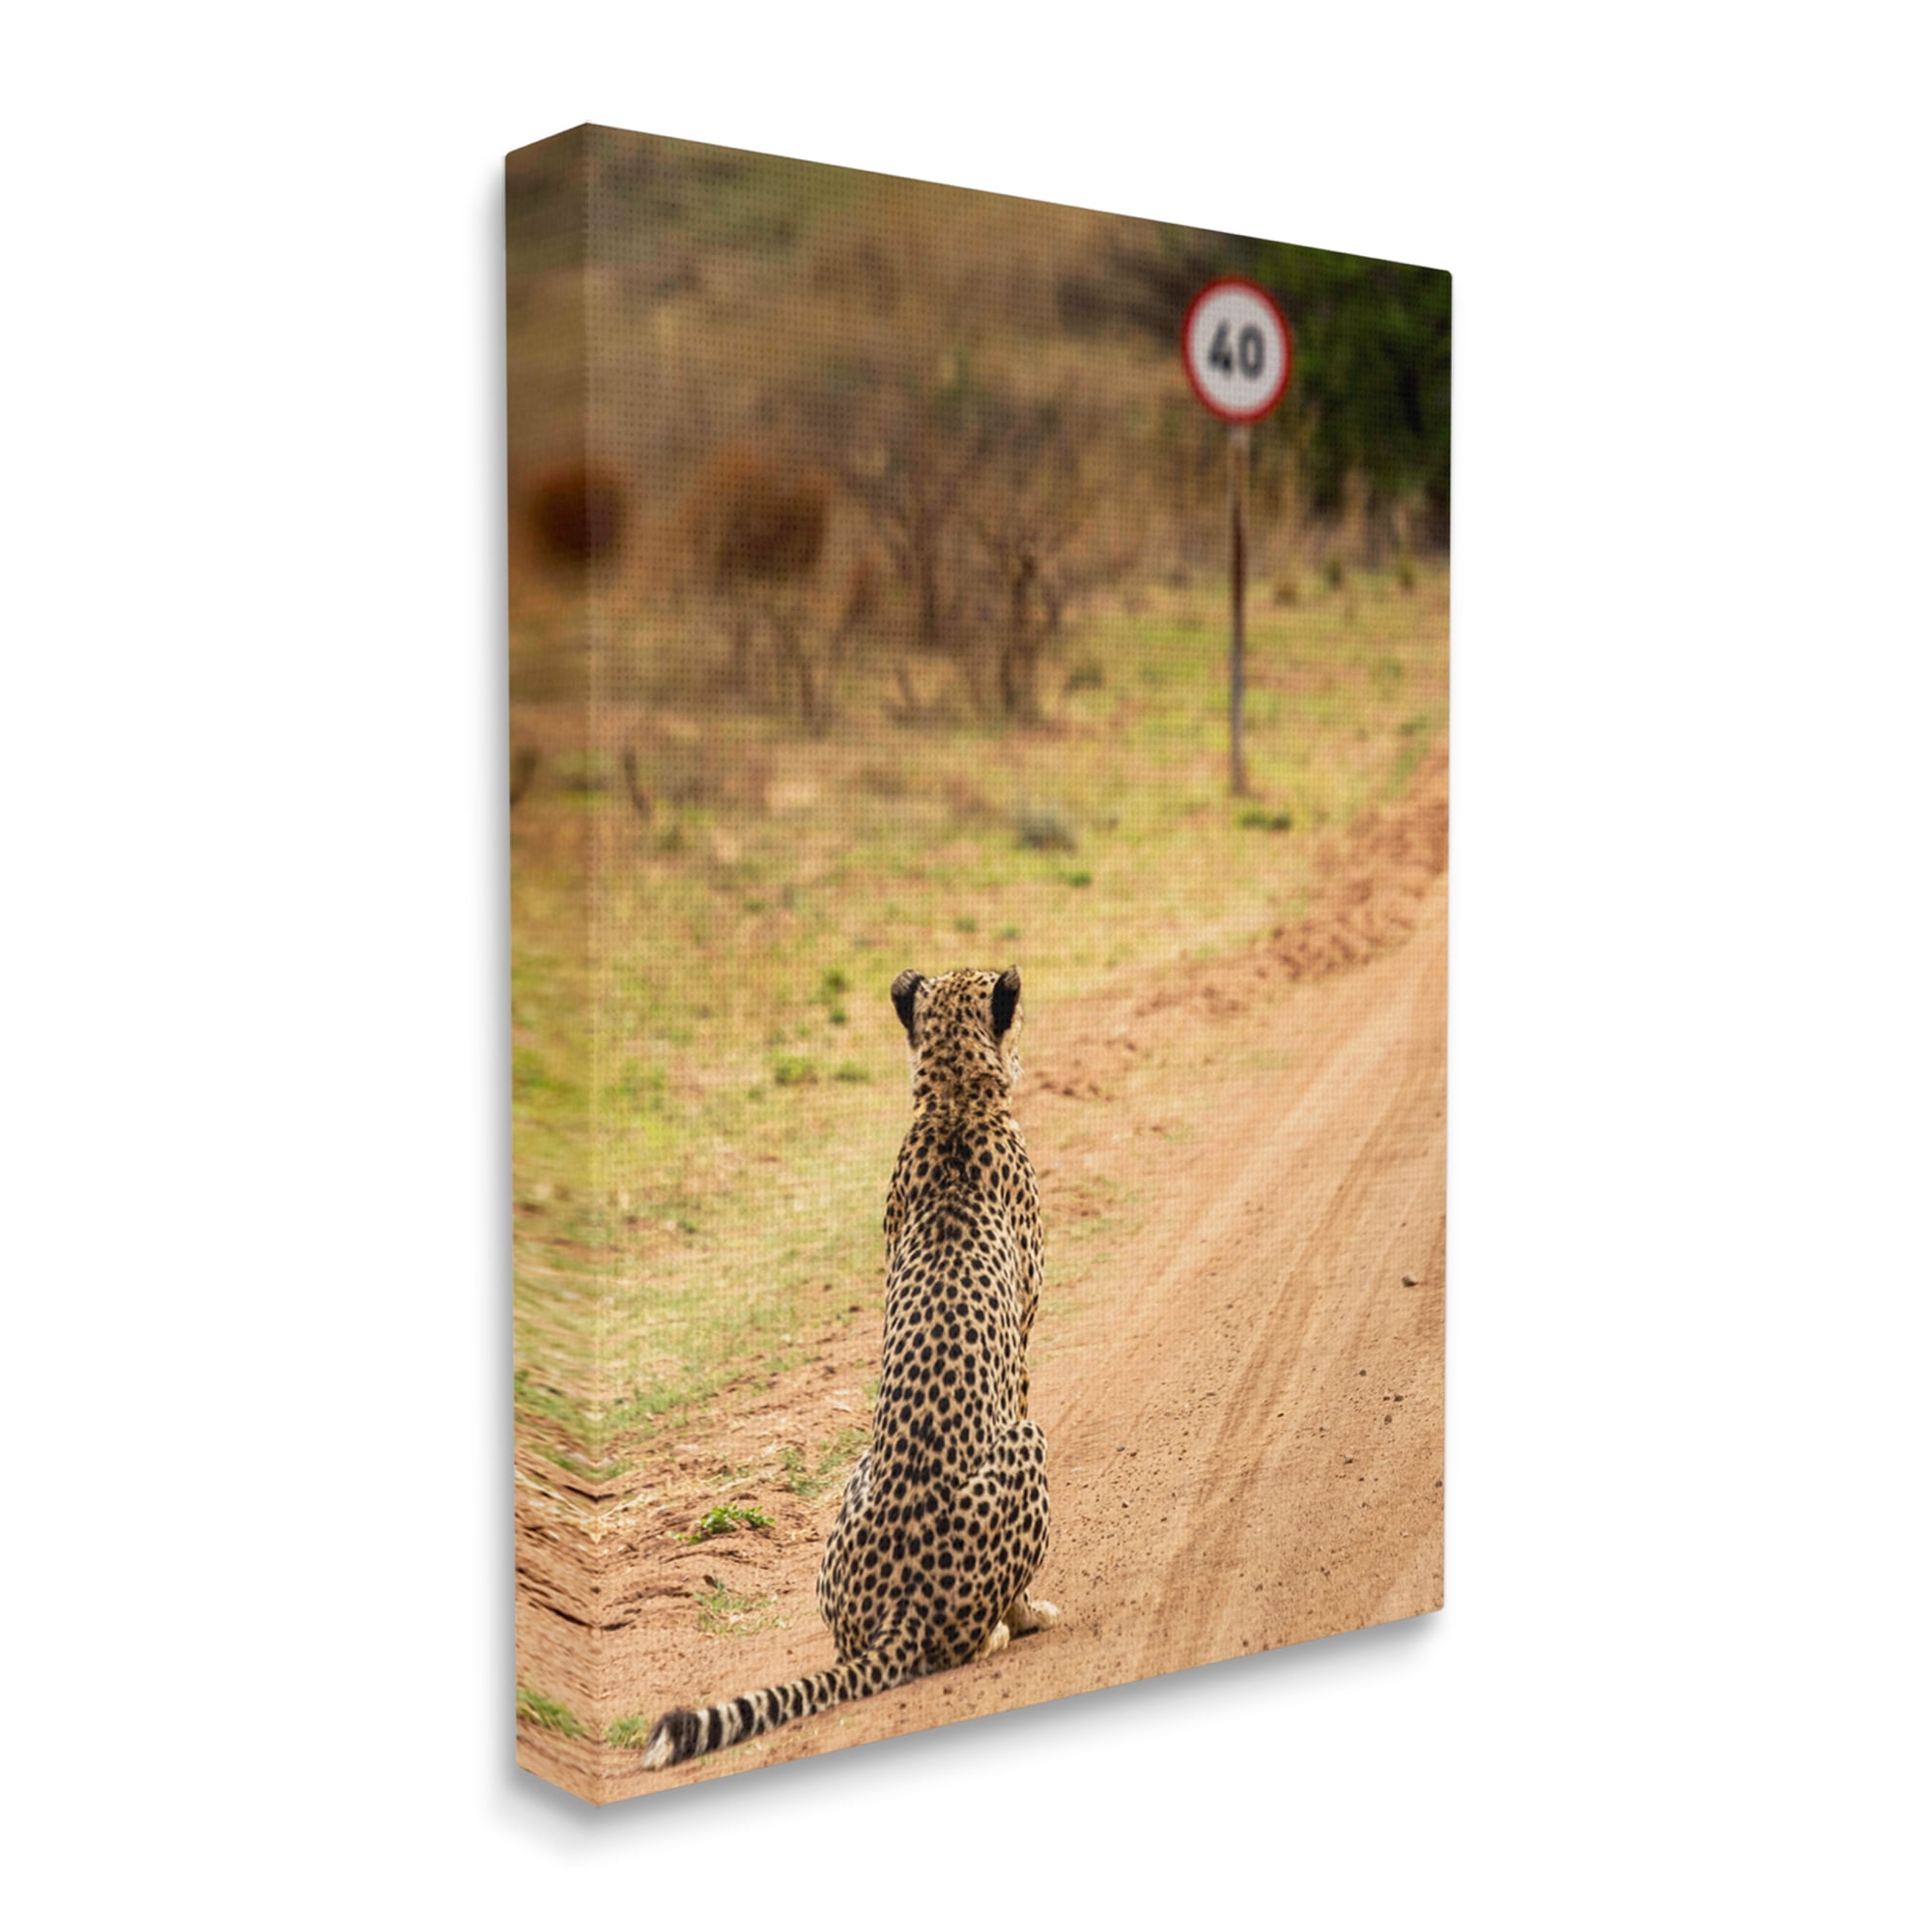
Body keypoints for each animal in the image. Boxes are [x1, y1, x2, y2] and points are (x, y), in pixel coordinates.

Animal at [642, 965, 1058, 1770]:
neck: (953, 1099)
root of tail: (900, 1610)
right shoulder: (1022, 1349)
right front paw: (1033, 1613)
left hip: (853, 1486)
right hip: (1028, 1446)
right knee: (964, 1642)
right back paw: (1006, 1627)